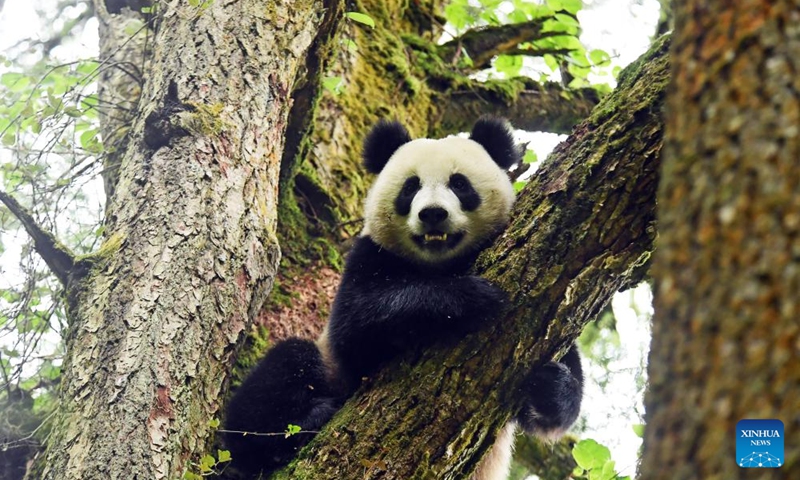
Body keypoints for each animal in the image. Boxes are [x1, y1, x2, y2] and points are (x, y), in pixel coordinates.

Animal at [222, 117, 584, 480]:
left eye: (459, 184)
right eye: (411, 187)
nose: (433, 214)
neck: (439, 263)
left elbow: (562, 384)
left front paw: (551, 384)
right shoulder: (369, 256)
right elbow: (357, 324)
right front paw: (471, 297)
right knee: (277, 377)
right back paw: (291, 430)